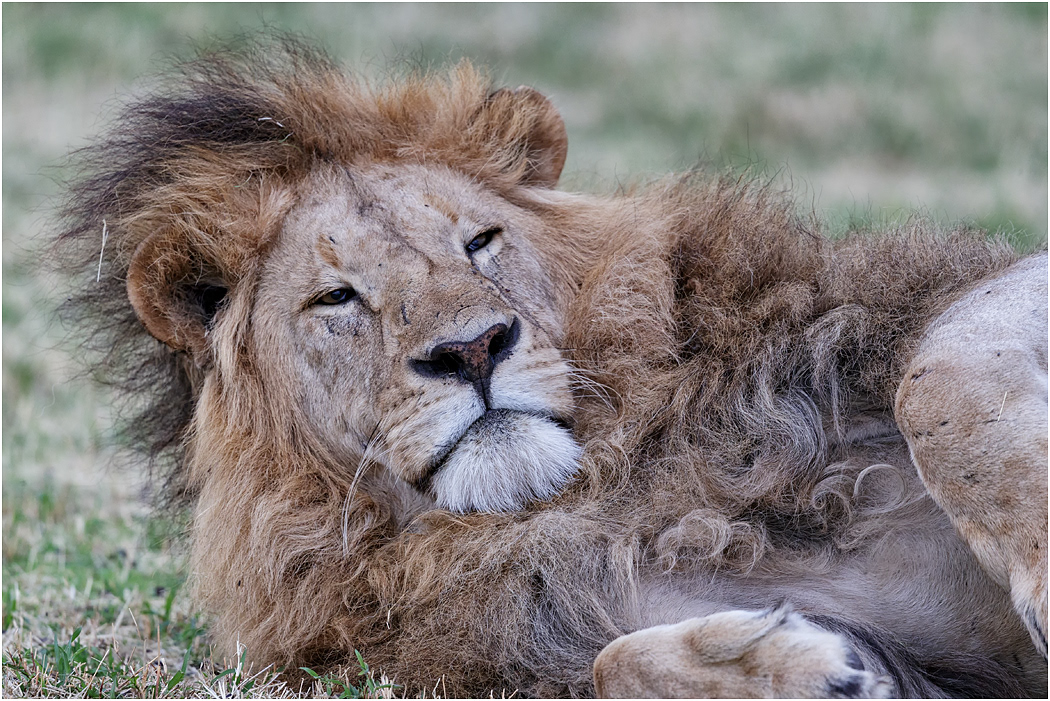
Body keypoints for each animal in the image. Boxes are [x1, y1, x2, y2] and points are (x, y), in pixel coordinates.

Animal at [56, 41, 1047, 697]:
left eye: (479, 240)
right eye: (337, 296)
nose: (470, 349)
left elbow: (935, 380)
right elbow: (615, 662)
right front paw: (810, 670)